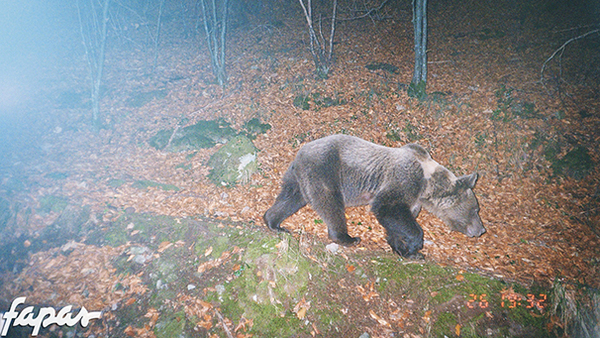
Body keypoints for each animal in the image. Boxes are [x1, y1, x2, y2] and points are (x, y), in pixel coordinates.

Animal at [264, 133, 486, 258]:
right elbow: (387, 207)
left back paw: (274, 222)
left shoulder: (413, 198)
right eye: (476, 209)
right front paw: (416, 245)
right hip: (324, 169)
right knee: (330, 204)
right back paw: (346, 237)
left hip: (298, 176)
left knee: (290, 198)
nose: (481, 229)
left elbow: (398, 221)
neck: (426, 185)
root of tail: (301, 151)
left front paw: (405, 250)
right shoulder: (404, 179)